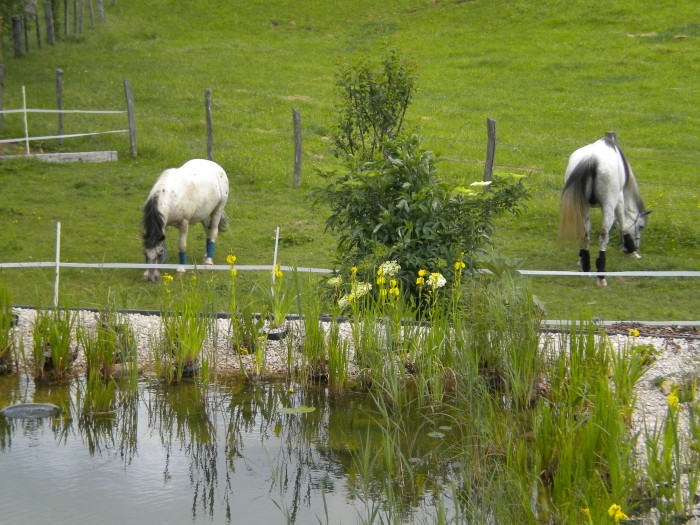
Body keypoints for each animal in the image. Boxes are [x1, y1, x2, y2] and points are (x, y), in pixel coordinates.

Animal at [556, 138, 652, 286]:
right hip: (608, 208)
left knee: (584, 233)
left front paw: (581, 258)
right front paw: (633, 252)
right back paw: (601, 277)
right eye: (640, 226)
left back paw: (586, 267)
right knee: (603, 236)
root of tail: (592, 160)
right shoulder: (619, 200)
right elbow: (623, 225)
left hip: (583, 206)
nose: (635, 247)